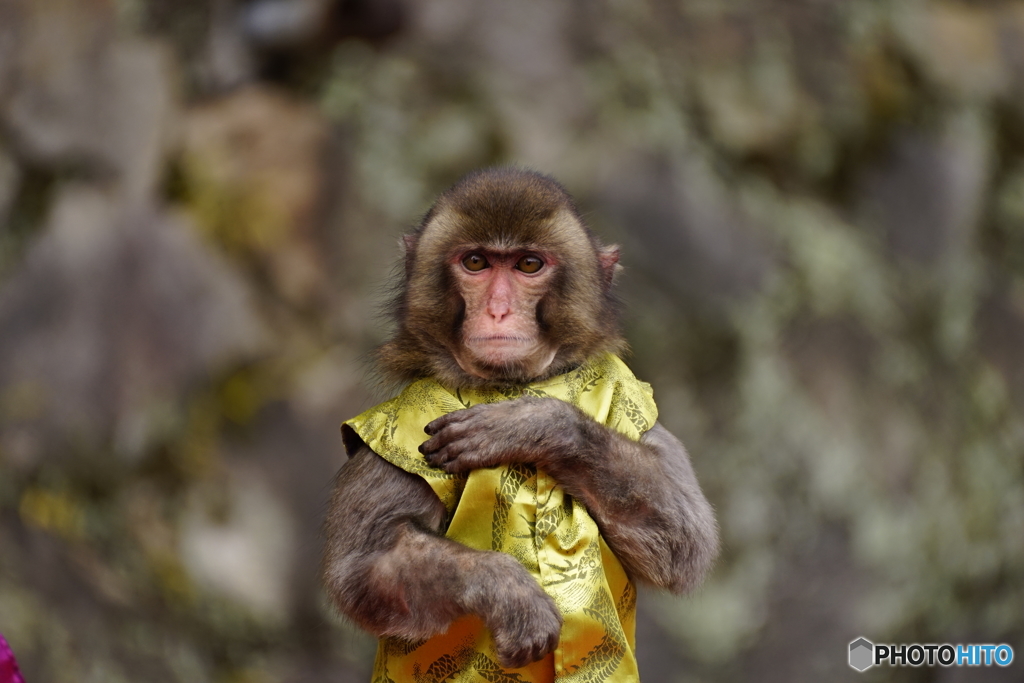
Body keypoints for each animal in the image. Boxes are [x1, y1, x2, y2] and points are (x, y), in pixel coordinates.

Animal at [321, 166, 720, 683]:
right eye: (476, 262)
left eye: (528, 265)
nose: (497, 310)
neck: (508, 384)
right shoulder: (392, 431)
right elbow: (364, 567)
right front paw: (509, 591)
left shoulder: (639, 414)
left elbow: (685, 541)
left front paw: (533, 425)